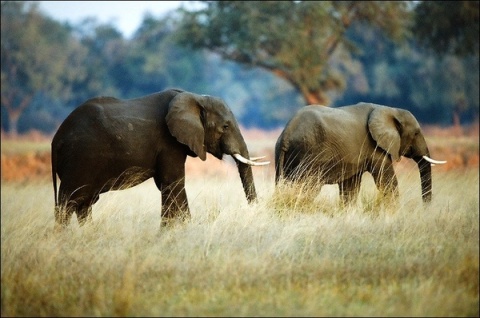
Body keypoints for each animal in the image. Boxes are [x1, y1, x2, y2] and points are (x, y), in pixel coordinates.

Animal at [53, 88, 270, 230]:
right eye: (225, 127)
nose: (255, 211)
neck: (193, 97)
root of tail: (56, 139)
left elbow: (166, 184)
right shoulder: (168, 142)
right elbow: (173, 182)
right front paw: (179, 230)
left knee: (83, 203)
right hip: (80, 158)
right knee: (69, 200)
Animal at [276, 103, 448, 205]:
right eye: (416, 133)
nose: (426, 209)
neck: (389, 110)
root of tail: (287, 132)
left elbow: (350, 187)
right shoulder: (375, 147)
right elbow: (387, 181)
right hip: (310, 155)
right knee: (308, 187)